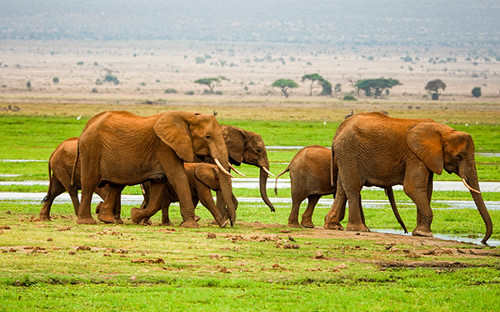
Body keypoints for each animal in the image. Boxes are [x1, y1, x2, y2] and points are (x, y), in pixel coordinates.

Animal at [74, 111, 236, 228]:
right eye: (208, 137)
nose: (231, 223)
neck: (187, 116)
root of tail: (87, 126)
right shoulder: (164, 146)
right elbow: (177, 177)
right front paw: (191, 225)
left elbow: (159, 185)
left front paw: (135, 215)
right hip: (91, 148)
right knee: (89, 183)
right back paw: (87, 222)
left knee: (116, 185)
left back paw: (107, 220)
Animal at [276, 144, 408, 232]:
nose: (405, 231)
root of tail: (291, 162)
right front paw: (342, 227)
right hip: (300, 175)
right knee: (298, 199)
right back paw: (295, 226)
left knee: (313, 198)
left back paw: (308, 225)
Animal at [324, 112, 492, 244]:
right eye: (459, 156)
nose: (483, 240)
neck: (444, 131)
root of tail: (338, 130)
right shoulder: (415, 156)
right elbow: (413, 188)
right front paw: (424, 234)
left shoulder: (426, 158)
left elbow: (427, 190)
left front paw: (419, 232)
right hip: (349, 152)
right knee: (353, 187)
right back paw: (359, 229)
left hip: (345, 154)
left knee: (342, 188)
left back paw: (334, 226)